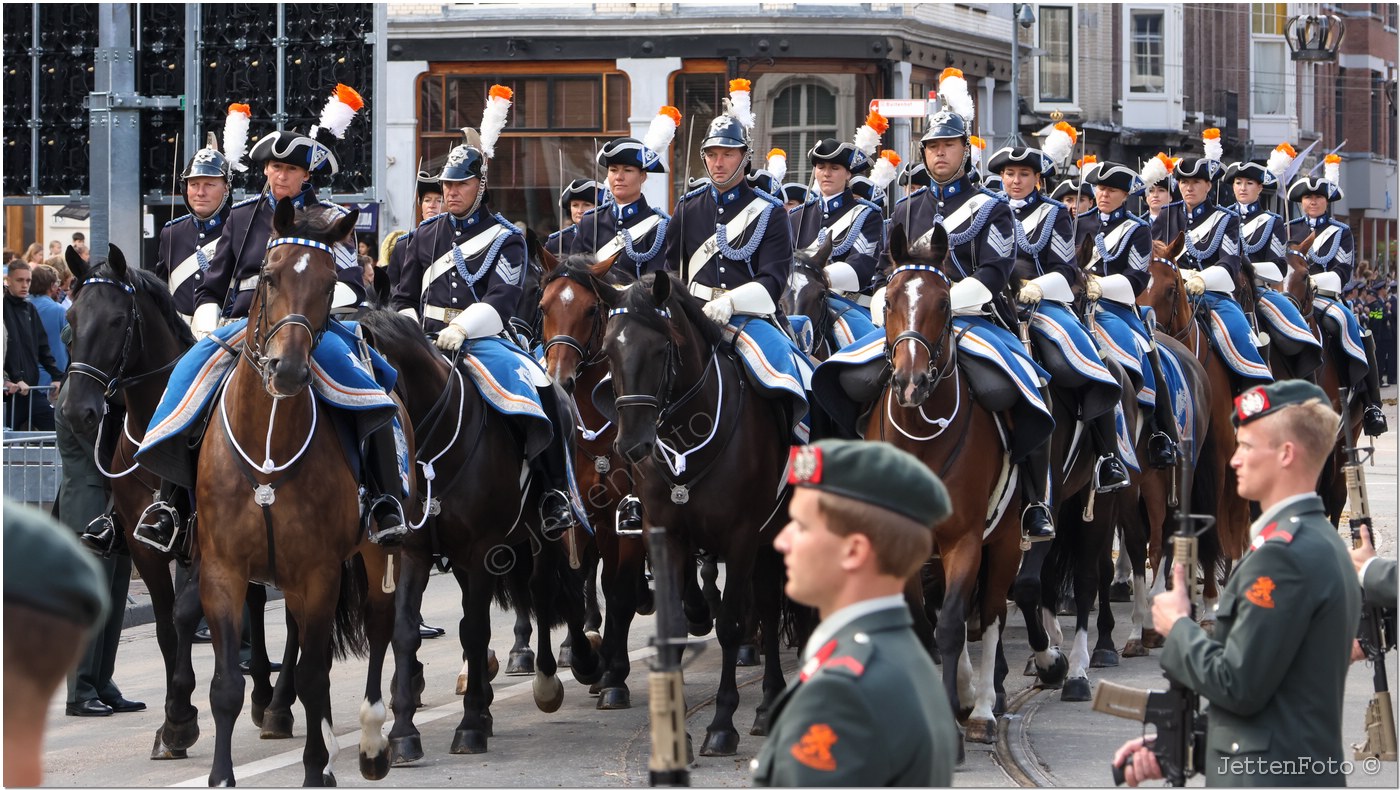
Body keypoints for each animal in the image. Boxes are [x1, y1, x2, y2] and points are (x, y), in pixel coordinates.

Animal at [193, 200, 400, 784]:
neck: (266, 444)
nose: (287, 370)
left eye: (331, 286)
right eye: (268, 274)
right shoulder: (222, 571)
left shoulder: (319, 572)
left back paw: (371, 742)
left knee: (378, 627)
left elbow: (312, 676)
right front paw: (221, 775)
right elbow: (226, 685)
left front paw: (312, 767)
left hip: (376, 553)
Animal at [355, 305, 602, 761]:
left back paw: (564, 669)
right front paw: (403, 733)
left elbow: (474, 629)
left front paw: (468, 726)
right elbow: (406, 631)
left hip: (542, 532)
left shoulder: (483, 549)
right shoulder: (417, 553)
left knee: (547, 589)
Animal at [590, 273, 795, 756]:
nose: (632, 445)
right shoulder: (665, 534)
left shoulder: (741, 537)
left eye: (661, 348)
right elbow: (676, 621)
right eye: (609, 350)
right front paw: (675, 725)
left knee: (768, 608)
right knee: (767, 603)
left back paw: (767, 704)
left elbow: (733, 625)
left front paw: (721, 724)